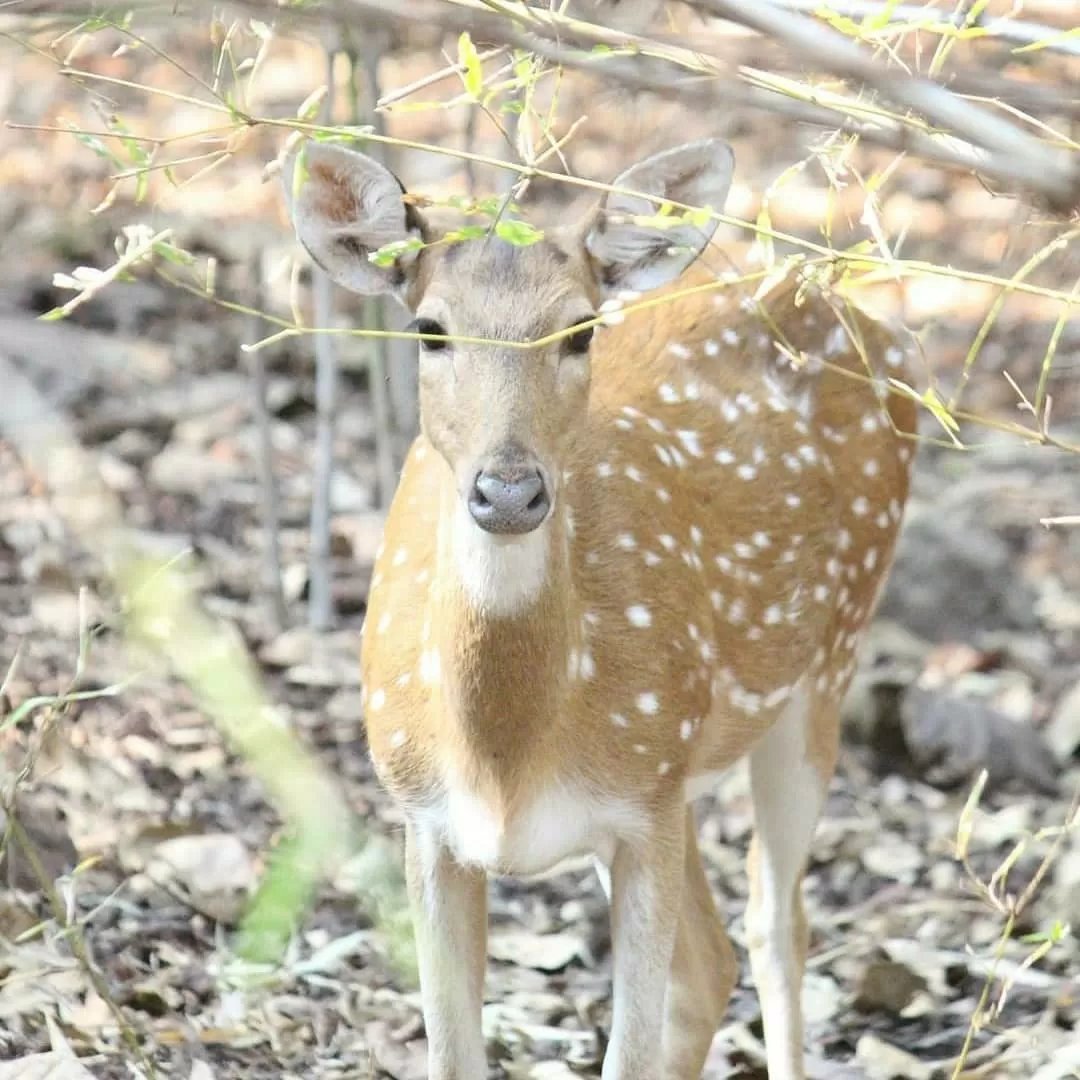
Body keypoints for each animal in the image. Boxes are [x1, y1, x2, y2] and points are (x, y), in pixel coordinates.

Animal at [280, 137, 920, 1080]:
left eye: (580, 329)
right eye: (430, 330)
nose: (509, 490)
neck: (504, 756)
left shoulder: (641, 810)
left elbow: (633, 1046)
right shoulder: (425, 821)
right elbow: (454, 1054)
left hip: (825, 663)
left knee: (775, 927)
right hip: (682, 772)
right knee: (713, 963)